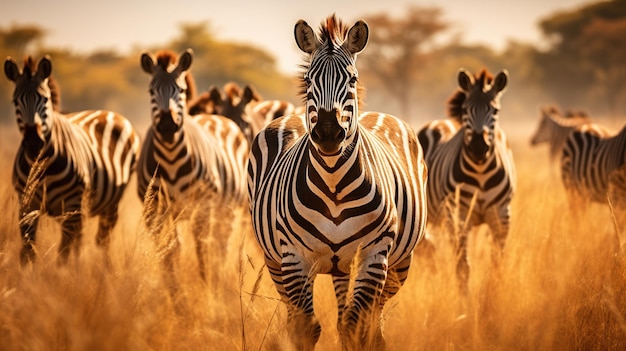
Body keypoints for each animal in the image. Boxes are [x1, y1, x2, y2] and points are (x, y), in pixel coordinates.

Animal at [3, 54, 140, 264]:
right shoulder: (26, 207)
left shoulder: (72, 205)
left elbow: (63, 256)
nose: (33, 143)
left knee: (101, 240)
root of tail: (109, 112)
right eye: (15, 101)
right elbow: (28, 253)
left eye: (45, 99)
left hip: (107, 203)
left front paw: (64, 273)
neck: (43, 168)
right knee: (82, 241)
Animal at [137, 48, 249, 284]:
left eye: (181, 90)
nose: (167, 126)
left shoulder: (203, 205)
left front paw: (206, 287)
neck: (170, 158)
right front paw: (173, 289)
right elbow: (168, 251)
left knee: (219, 245)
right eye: (151, 91)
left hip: (227, 207)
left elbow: (202, 250)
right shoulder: (153, 209)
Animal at [246, 15, 426, 350]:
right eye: (308, 81)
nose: (329, 134)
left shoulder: (374, 254)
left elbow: (357, 328)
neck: (334, 184)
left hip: (394, 263)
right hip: (277, 262)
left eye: (352, 80)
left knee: (368, 323)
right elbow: (305, 328)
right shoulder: (294, 257)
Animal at [416, 69, 516, 294]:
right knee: (428, 248)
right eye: (465, 109)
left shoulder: (502, 216)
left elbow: (497, 262)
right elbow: (463, 267)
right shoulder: (459, 216)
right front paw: (465, 302)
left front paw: (494, 295)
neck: (480, 172)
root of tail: (438, 122)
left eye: (495, 110)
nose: (478, 147)